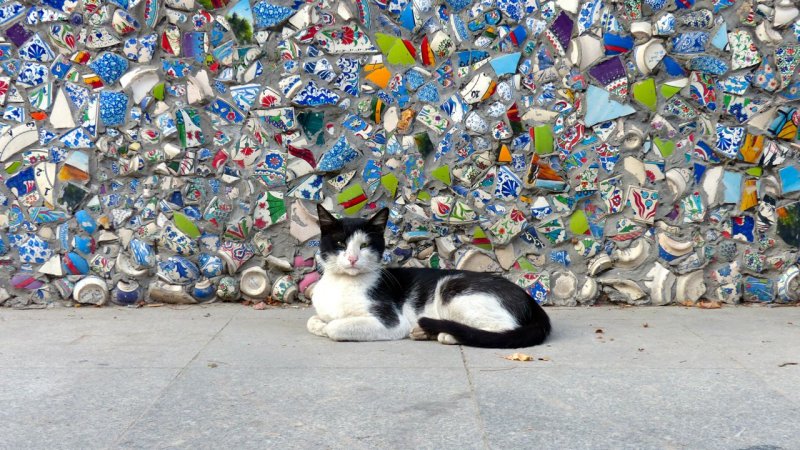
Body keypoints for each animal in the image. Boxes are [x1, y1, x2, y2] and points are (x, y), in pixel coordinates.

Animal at [306, 206, 552, 350]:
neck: (341, 283)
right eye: (340, 243)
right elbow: (314, 320)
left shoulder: (392, 322)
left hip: (452, 288)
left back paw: (447, 335)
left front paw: (328, 327)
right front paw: (320, 323)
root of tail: (530, 300)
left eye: (364, 245)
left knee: (501, 328)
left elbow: (336, 328)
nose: (352, 258)